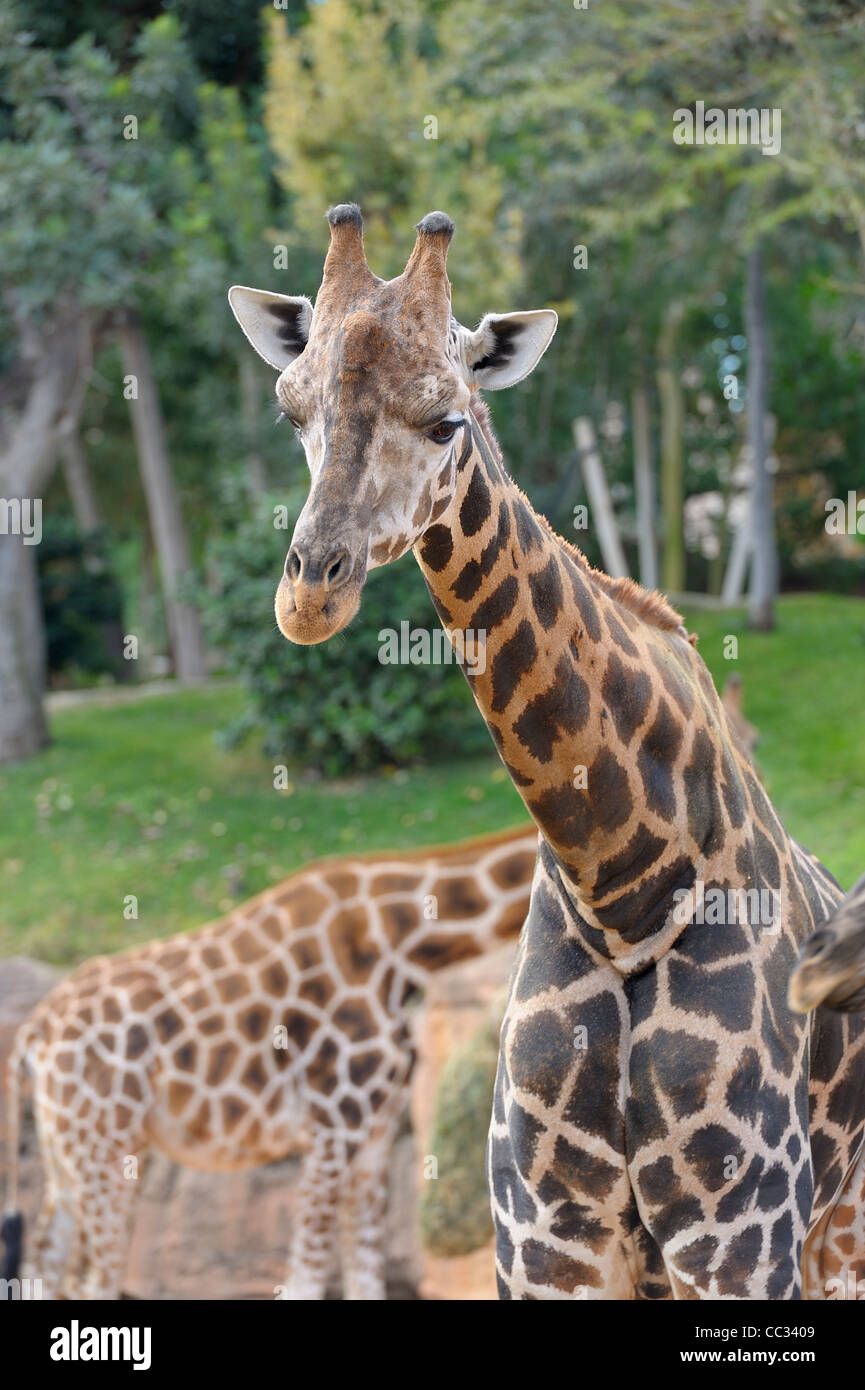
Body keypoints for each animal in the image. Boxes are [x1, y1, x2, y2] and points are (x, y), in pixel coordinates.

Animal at [2, 824, 536, 1301]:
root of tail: (34, 1031)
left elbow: (367, 1283)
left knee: (42, 1266)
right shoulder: (333, 1125)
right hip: (105, 1146)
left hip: (68, 1151)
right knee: (92, 1281)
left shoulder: (376, 1133)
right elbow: (304, 1282)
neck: (402, 942)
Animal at [228, 203, 865, 1300]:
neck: (620, 881)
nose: (310, 592)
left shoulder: (739, 1243)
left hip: (840, 1233)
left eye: (447, 420)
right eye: (290, 410)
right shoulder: (543, 1245)